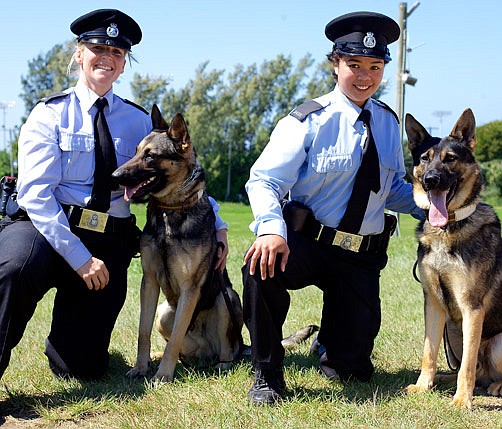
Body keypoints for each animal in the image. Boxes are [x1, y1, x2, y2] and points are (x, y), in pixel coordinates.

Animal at [114, 105, 247, 380]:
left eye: (150, 156)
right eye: (135, 151)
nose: (115, 175)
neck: (170, 211)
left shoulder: (190, 288)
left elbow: (174, 339)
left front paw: (163, 375)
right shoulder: (149, 282)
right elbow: (143, 332)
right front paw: (141, 368)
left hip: (226, 299)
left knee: (229, 349)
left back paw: (222, 363)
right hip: (164, 313)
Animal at [402, 108, 502, 408]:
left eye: (450, 159)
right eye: (425, 158)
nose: (430, 180)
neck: (446, 229)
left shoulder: (472, 307)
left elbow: (467, 364)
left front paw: (462, 400)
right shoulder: (434, 304)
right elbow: (429, 351)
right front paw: (423, 385)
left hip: (496, 342)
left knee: (477, 368)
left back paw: (494, 386)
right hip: (454, 333)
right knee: (470, 369)